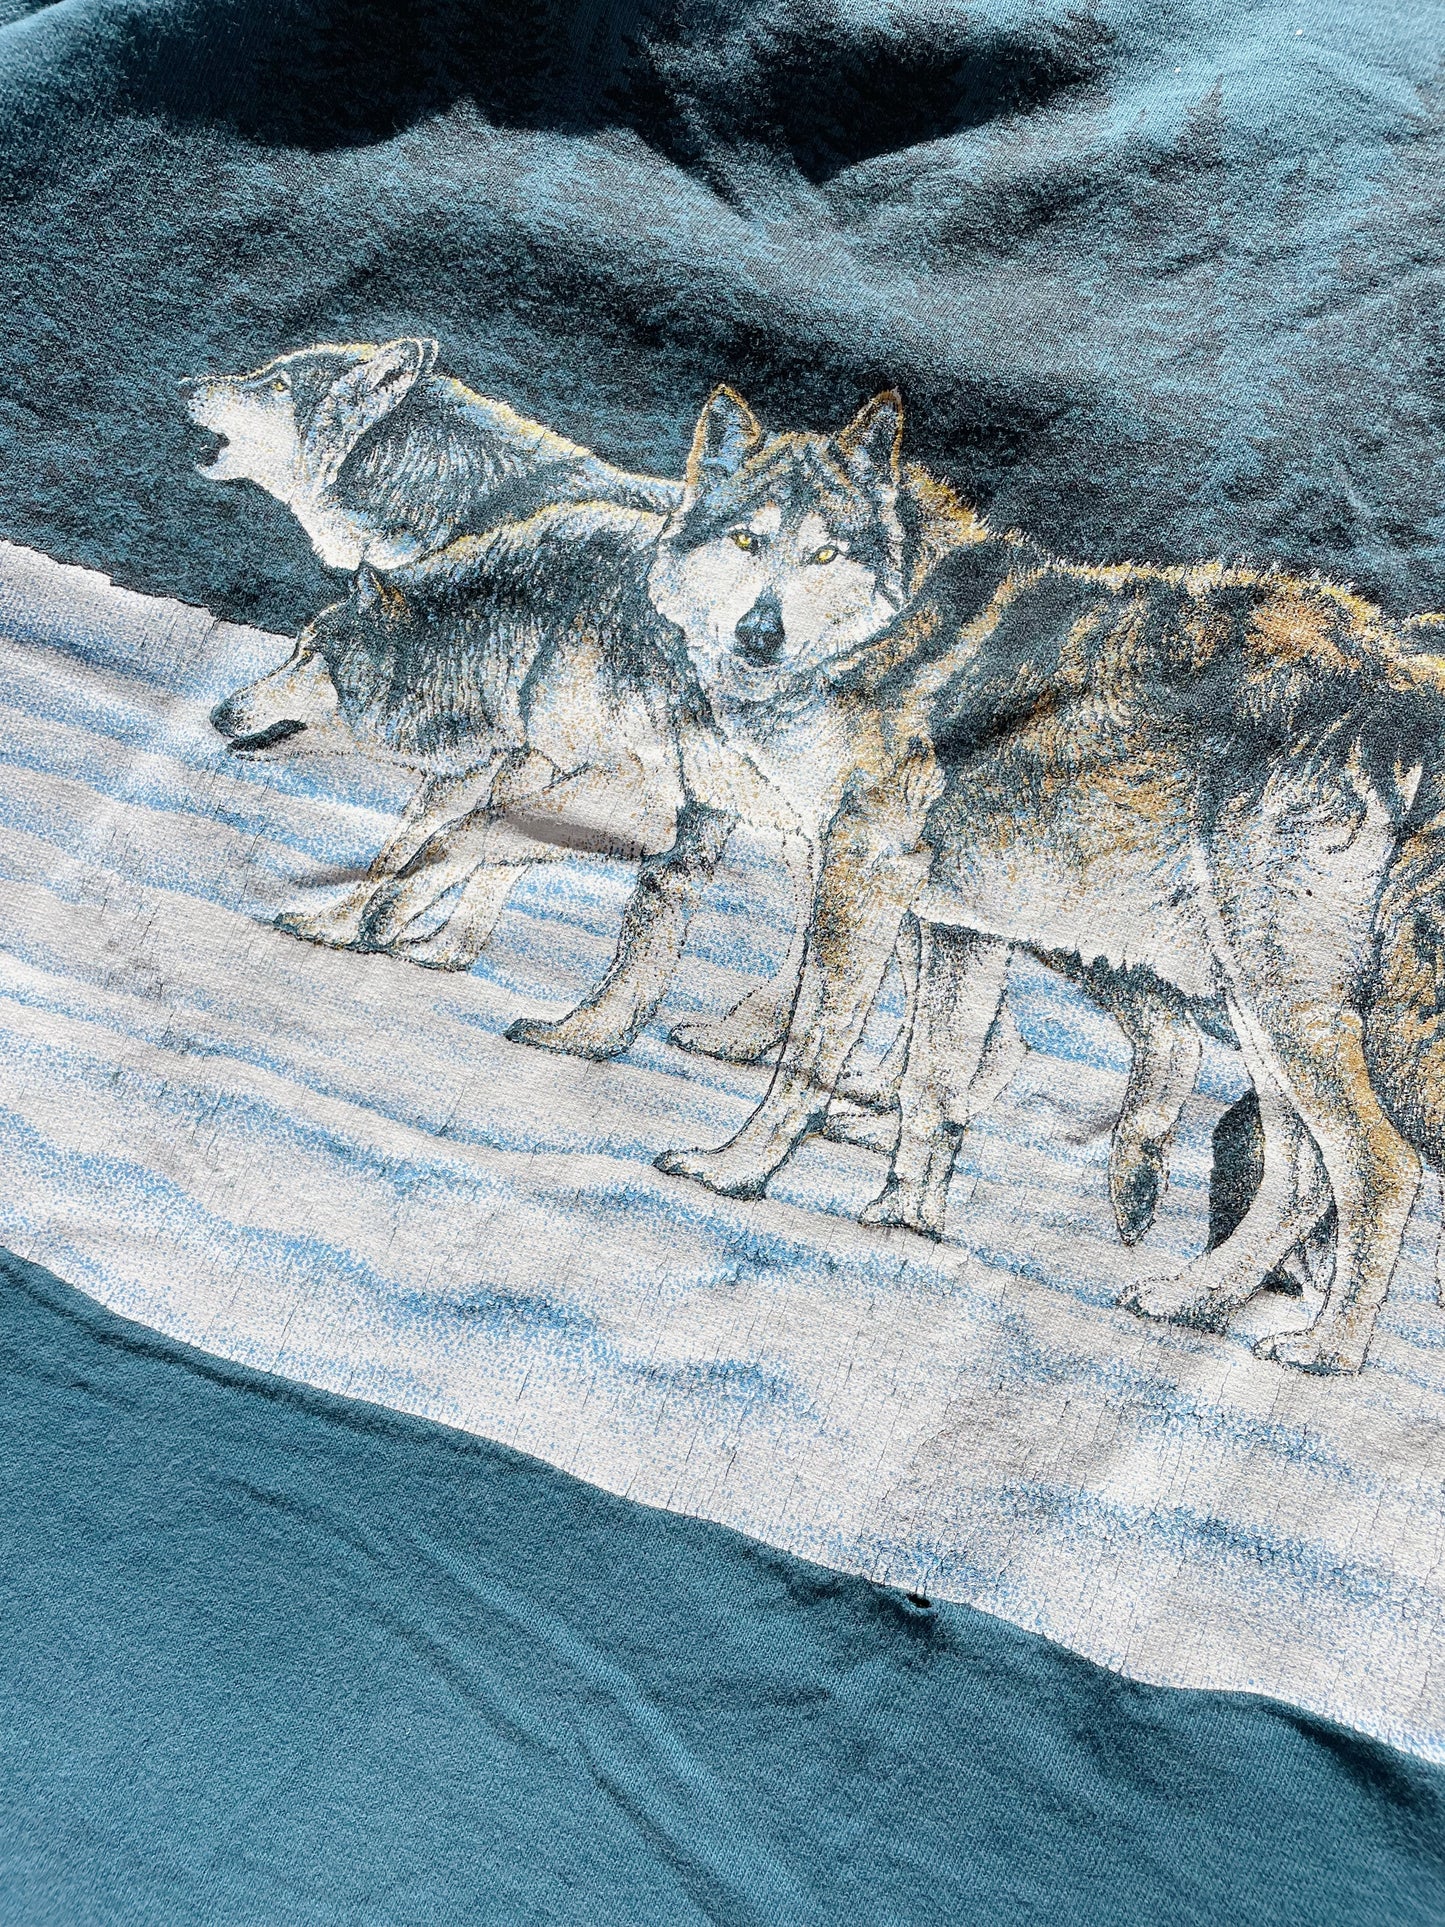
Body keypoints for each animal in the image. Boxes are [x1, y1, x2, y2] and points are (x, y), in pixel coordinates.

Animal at [644, 385, 1445, 1373]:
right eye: (746, 541)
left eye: (825, 553)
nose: (760, 632)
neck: (895, 635)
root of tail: (1408, 690)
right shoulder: (958, 928)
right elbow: (935, 1085)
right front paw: (904, 1216)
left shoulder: (860, 880)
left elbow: (810, 1053)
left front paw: (736, 1171)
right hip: (1258, 1006)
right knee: (1298, 1178)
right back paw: (1189, 1301)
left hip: (1280, 1003)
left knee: (1381, 1166)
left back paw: (1325, 1351)